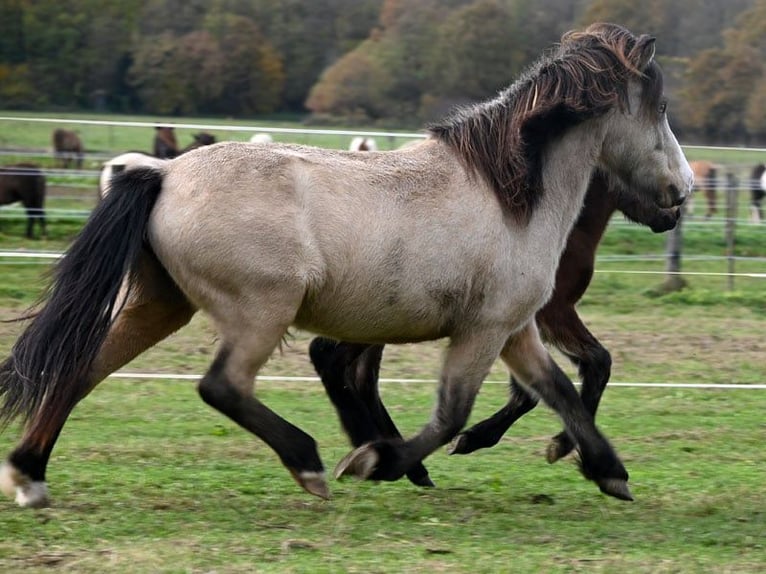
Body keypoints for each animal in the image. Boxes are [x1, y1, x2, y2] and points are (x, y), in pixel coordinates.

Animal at [308, 170, 680, 488]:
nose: (673, 216)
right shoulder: (551, 314)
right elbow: (594, 364)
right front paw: (559, 446)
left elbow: (541, 386)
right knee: (329, 357)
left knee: (358, 375)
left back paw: (397, 460)